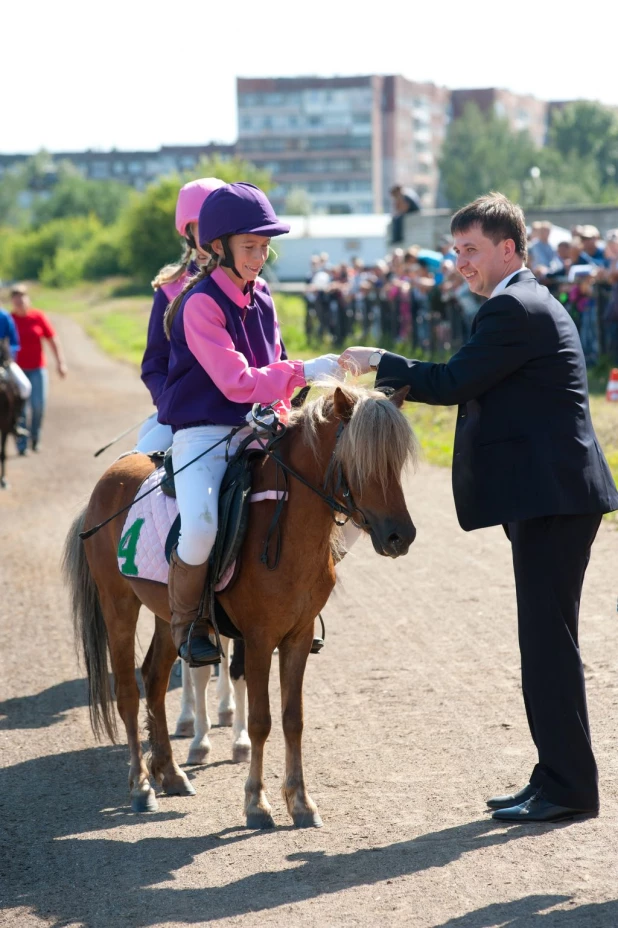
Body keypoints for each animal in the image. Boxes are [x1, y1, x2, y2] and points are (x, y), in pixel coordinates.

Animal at [62, 384, 416, 828]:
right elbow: (262, 720)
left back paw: (170, 773)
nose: (401, 536)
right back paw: (142, 786)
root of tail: (110, 477)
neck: (284, 524)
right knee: (127, 691)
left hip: (170, 617)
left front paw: (301, 801)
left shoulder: (297, 637)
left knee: (155, 679)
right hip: (119, 605)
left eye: (397, 461)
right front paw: (257, 803)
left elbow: (293, 719)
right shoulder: (260, 638)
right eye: (358, 459)